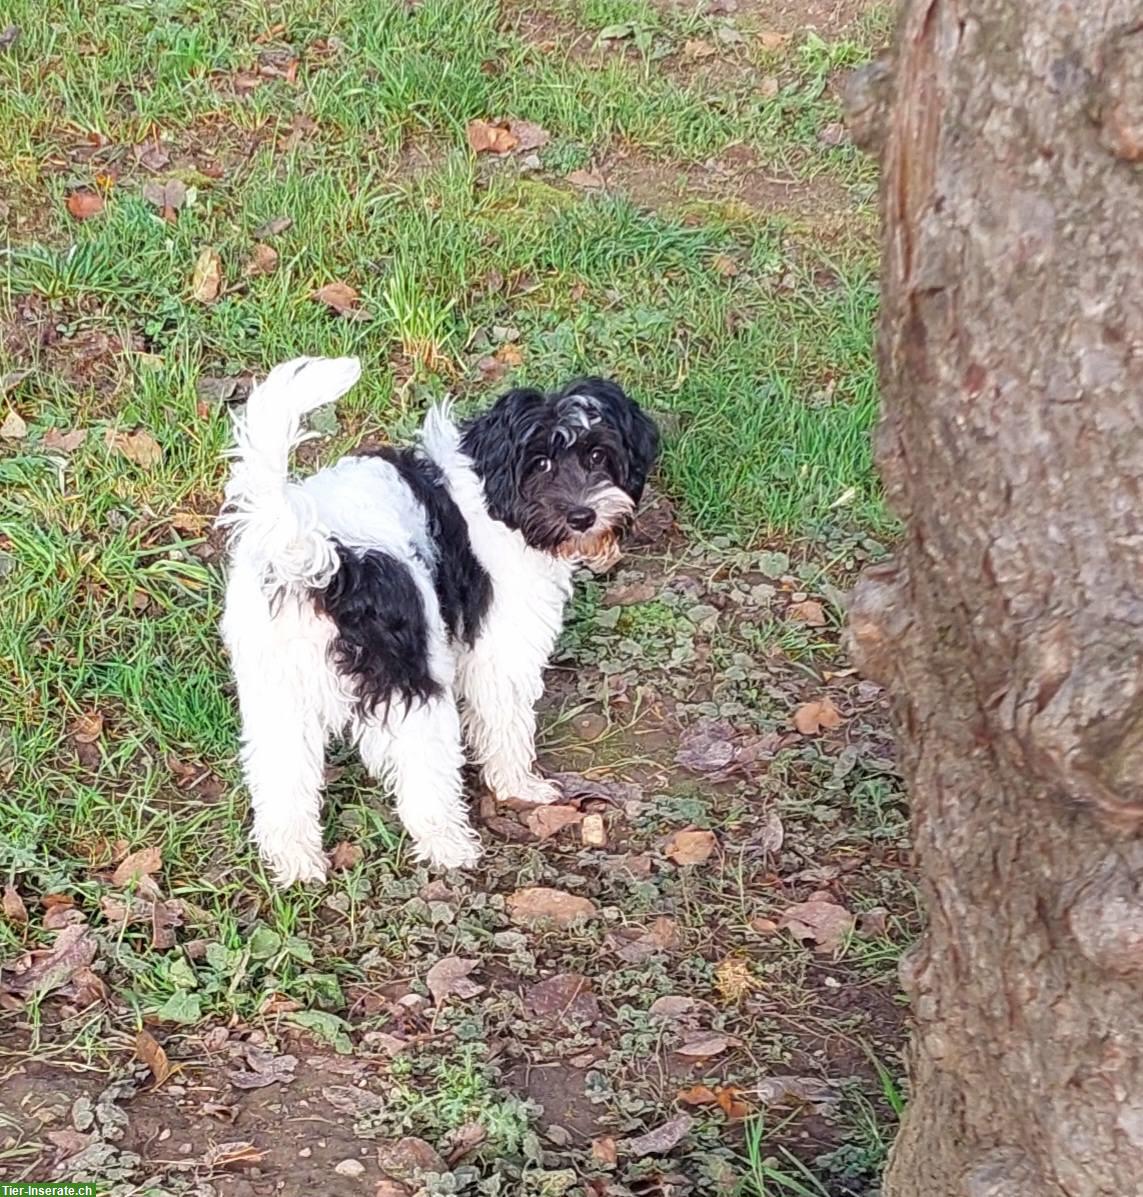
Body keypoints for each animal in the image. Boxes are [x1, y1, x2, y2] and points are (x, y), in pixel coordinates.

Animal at [217, 349, 655, 885]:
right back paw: (449, 845)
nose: (582, 516)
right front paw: (519, 786)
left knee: (281, 777)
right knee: (422, 772)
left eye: (597, 456)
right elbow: (506, 720)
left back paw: (297, 863)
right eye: (541, 462)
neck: (493, 492)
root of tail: (321, 559)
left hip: (277, 692)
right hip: (413, 682)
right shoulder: (501, 648)